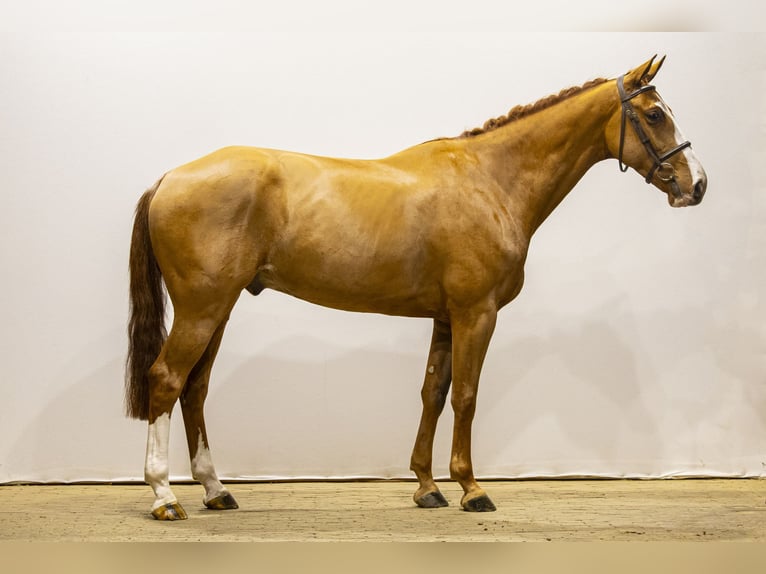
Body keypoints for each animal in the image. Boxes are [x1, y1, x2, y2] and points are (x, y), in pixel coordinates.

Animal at [126, 57, 708, 520]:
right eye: (654, 114)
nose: (696, 183)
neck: (490, 180)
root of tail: (170, 177)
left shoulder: (446, 316)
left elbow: (434, 392)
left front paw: (428, 487)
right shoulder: (477, 313)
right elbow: (468, 395)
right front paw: (472, 489)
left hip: (218, 309)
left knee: (195, 389)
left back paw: (215, 490)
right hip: (202, 307)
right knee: (166, 379)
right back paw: (164, 497)